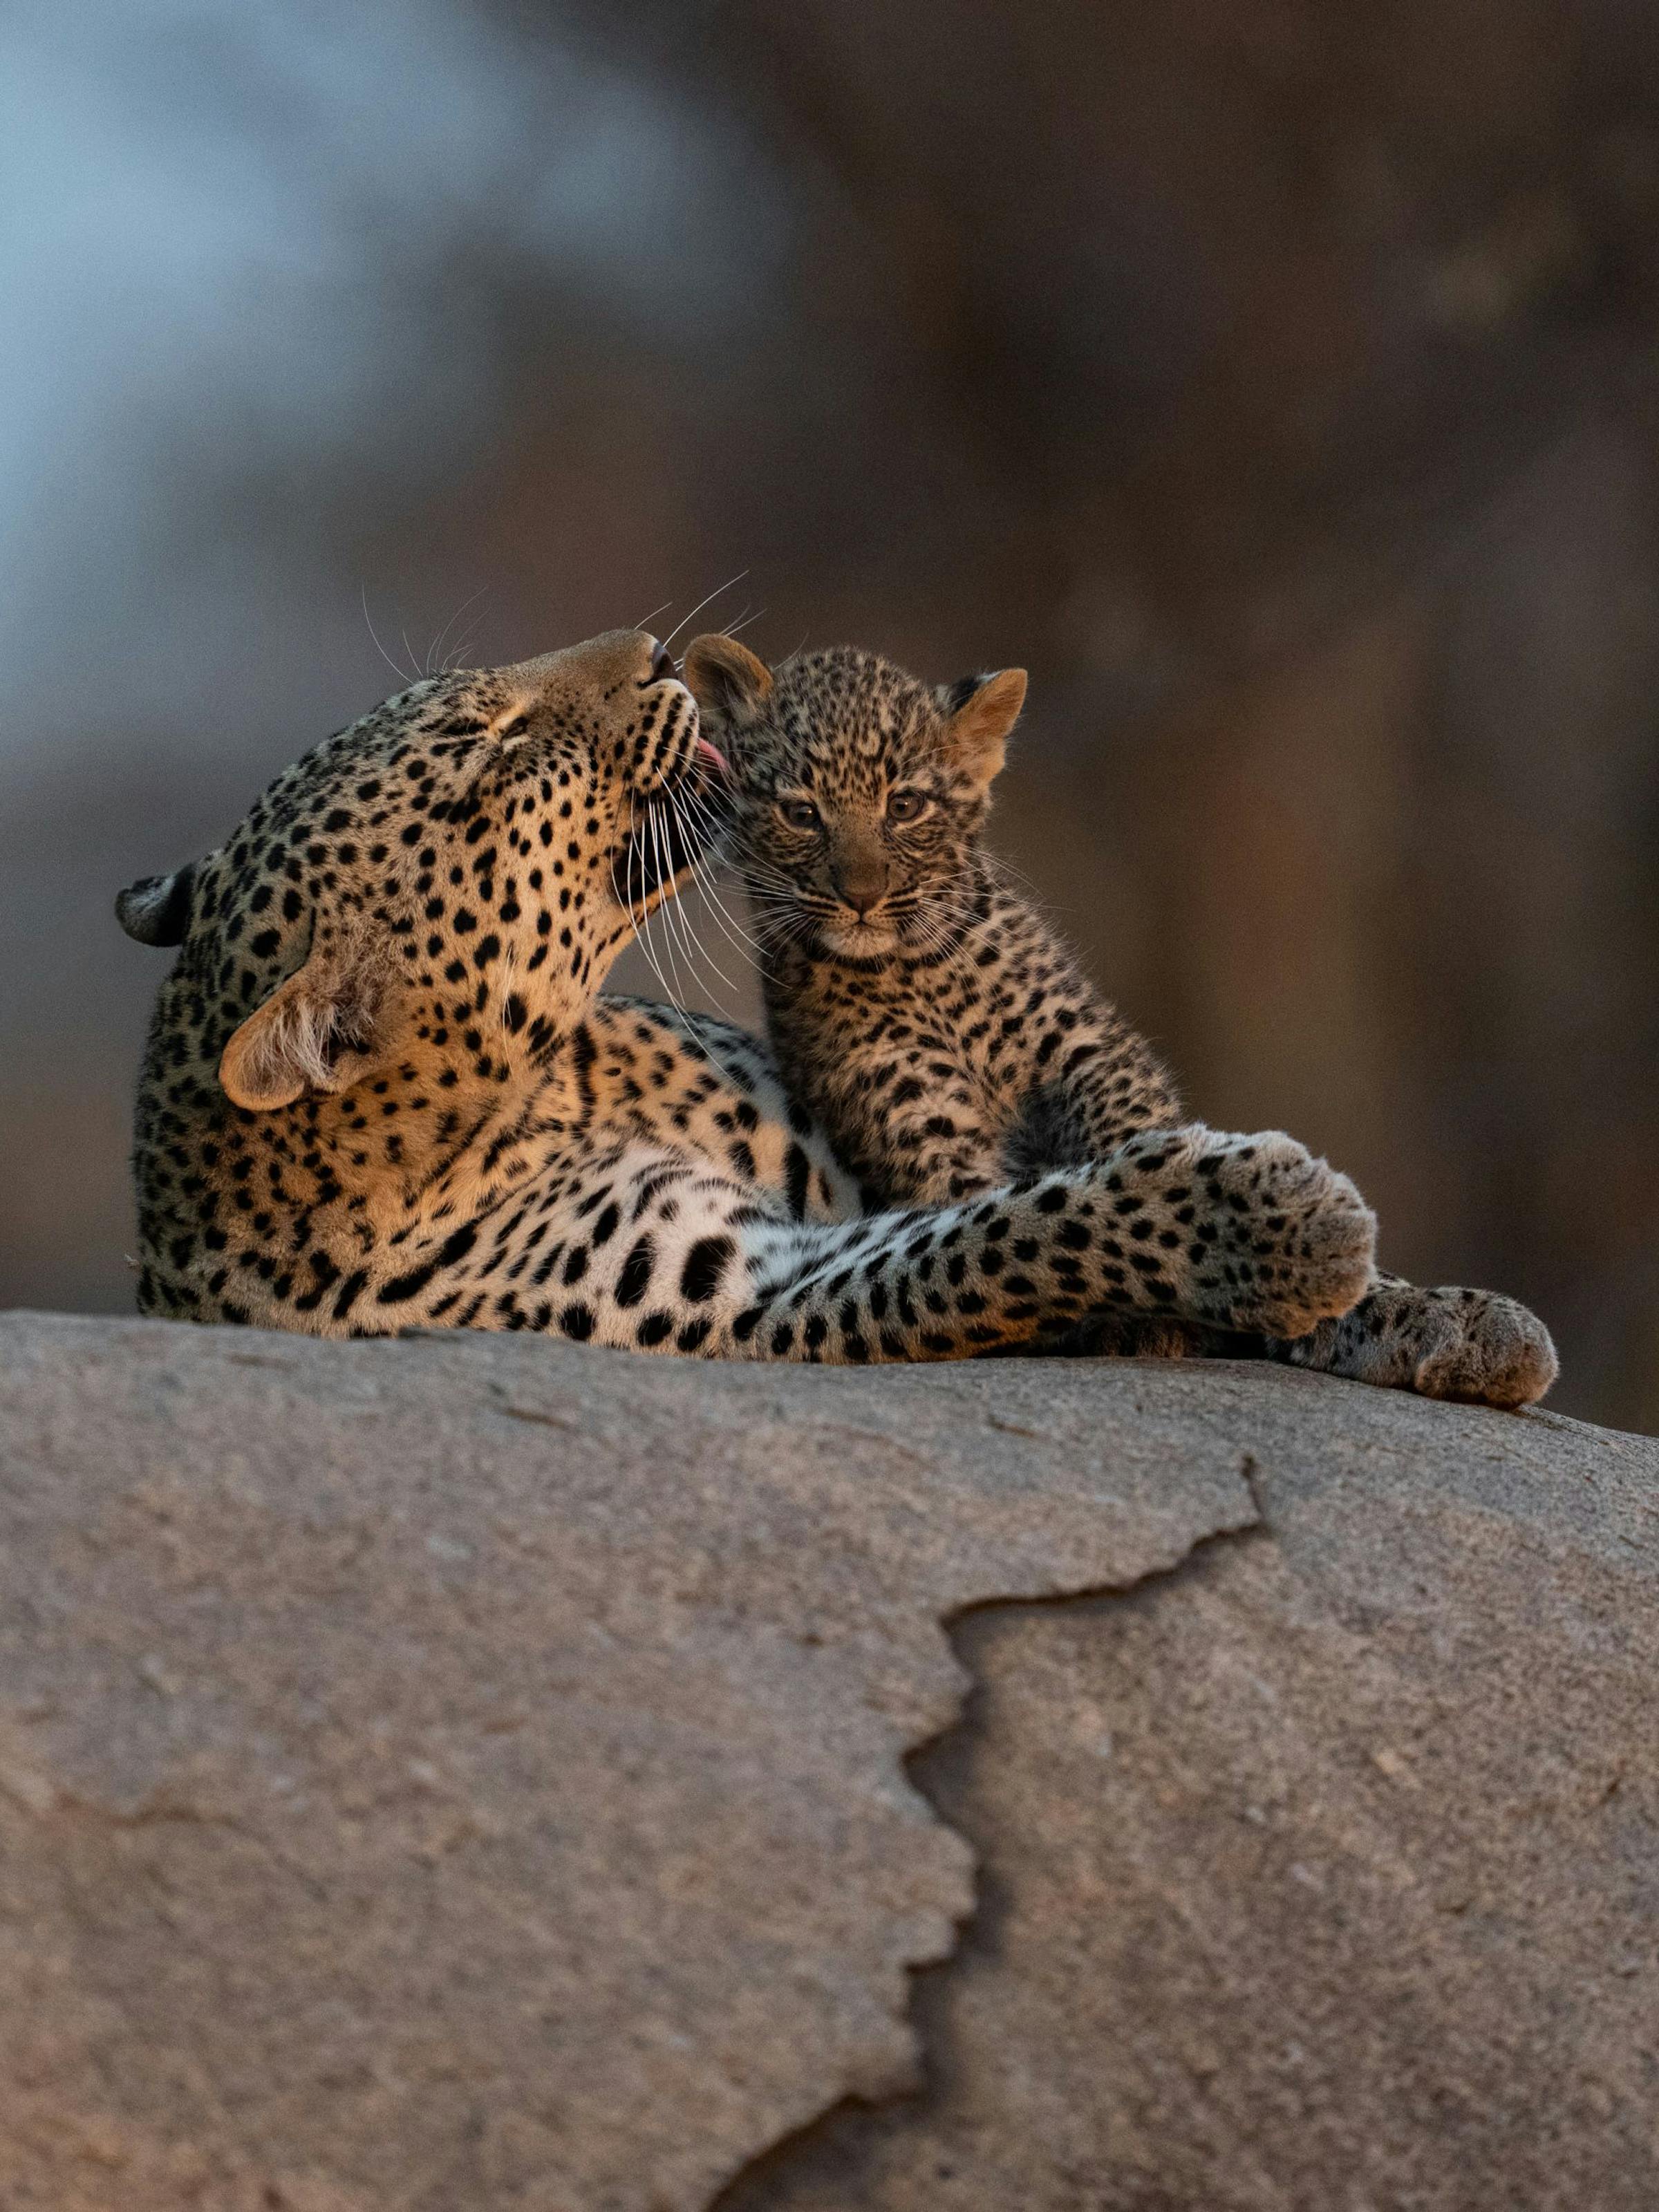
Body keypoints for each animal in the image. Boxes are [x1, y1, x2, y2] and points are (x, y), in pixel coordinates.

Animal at [116, 627, 1382, 1365]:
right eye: (493, 753)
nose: (654, 649)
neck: (536, 1096)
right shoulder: (737, 1288)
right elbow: (1003, 1236)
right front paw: (1281, 1222)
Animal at [683, 630, 1558, 1409]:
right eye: (801, 812)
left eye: (906, 804)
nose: (861, 896)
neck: (915, 969)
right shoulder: (917, 1122)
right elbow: (1006, 1217)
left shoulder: (1085, 1046)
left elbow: (1133, 1131)